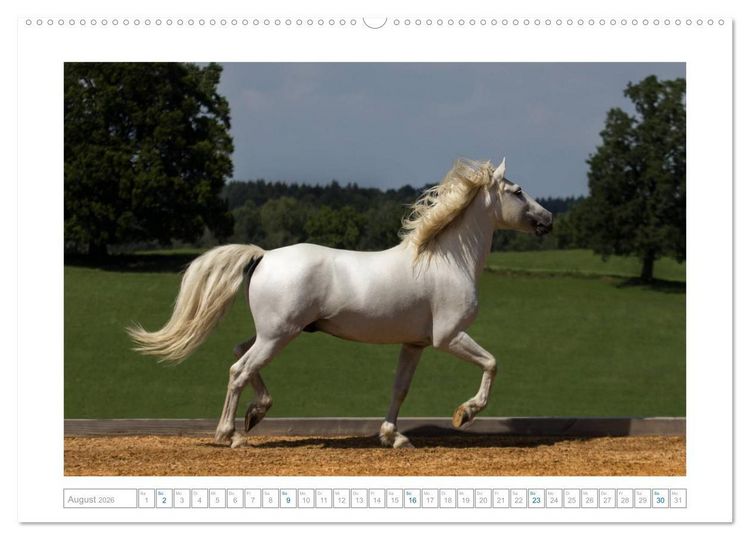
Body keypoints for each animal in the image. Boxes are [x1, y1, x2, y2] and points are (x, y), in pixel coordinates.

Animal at [128, 157, 553, 448]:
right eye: (517, 192)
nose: (548, 219)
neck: (447, 260)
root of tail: (263, 255)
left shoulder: (415, 344)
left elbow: (400, 389)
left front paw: (393, 437)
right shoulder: (449, 336)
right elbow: (492, 364)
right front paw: (464, 414)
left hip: (273, 333)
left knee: (240, 355)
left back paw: (255, 413)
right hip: (278, 335)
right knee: (238, 370)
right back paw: (230, 435)